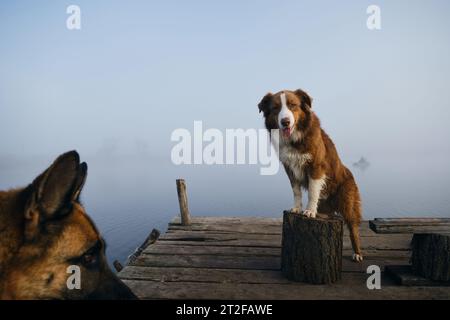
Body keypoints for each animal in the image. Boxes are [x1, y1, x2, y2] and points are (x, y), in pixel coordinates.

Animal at [258, 89, 364, 262]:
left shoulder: (316, 167)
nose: (285, 122)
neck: (294, 138)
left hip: (347, 201)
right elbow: (296, 191)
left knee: (353, 227)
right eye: (275, 108)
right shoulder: (290, 168)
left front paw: (309, 211)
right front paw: (296, 208)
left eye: (292, 105)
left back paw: (357, 253)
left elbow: (313, 192)